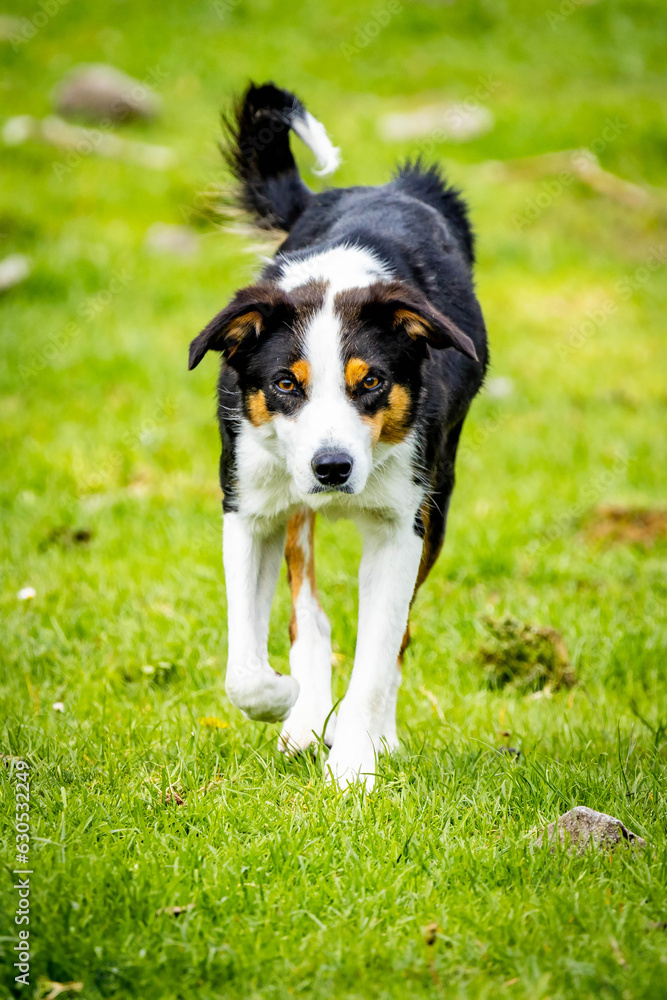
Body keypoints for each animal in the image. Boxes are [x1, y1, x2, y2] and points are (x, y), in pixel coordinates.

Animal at [190, 84, 488, 788]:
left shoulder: (404, 523)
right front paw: (286, 703)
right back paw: (303, 718)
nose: (332, 469)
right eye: (285, 383)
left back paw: (371, 733)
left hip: (439, 498)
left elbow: (380, 655)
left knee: (395, 638)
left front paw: (356, 758)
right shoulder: (249, 504)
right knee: (309, 612)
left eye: (371, 380)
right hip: (292, 504)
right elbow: (245, 669)